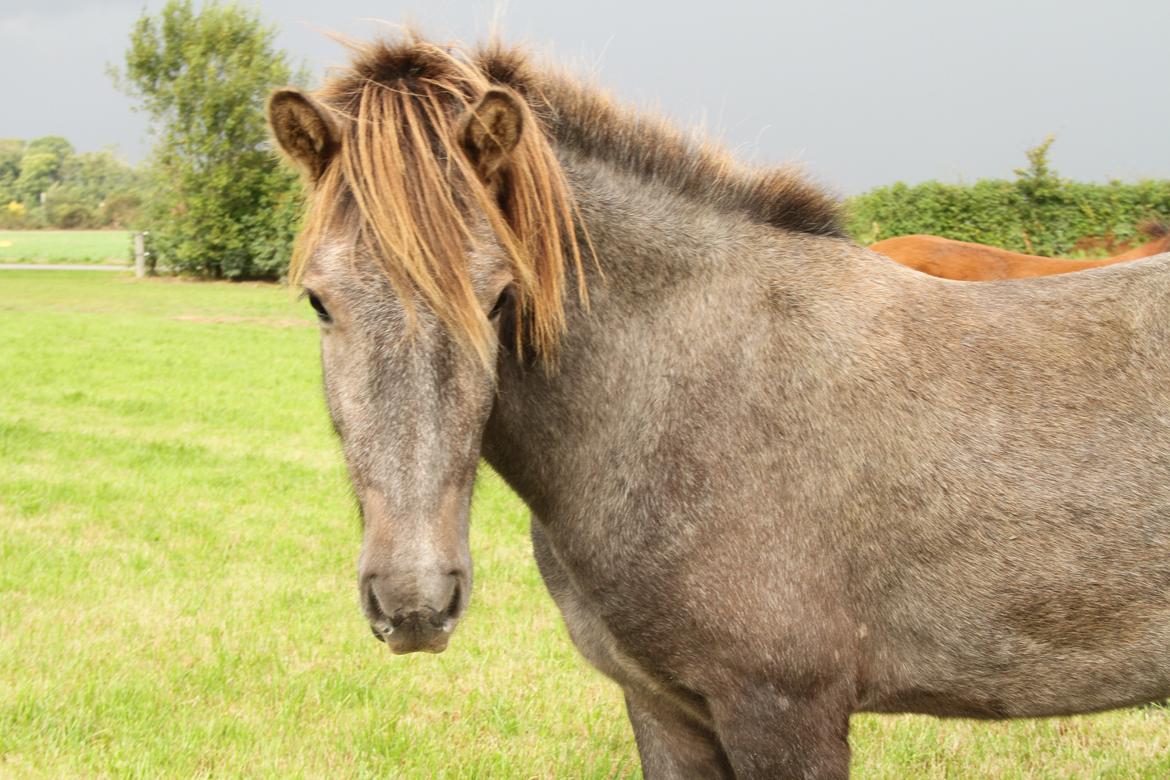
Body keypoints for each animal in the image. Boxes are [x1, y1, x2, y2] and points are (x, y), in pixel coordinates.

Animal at [265, 33, 1170, 776]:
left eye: (498, 298)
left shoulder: (783, 713)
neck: (683, 396)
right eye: (318, 300)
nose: (414, 601)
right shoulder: (666, 710)